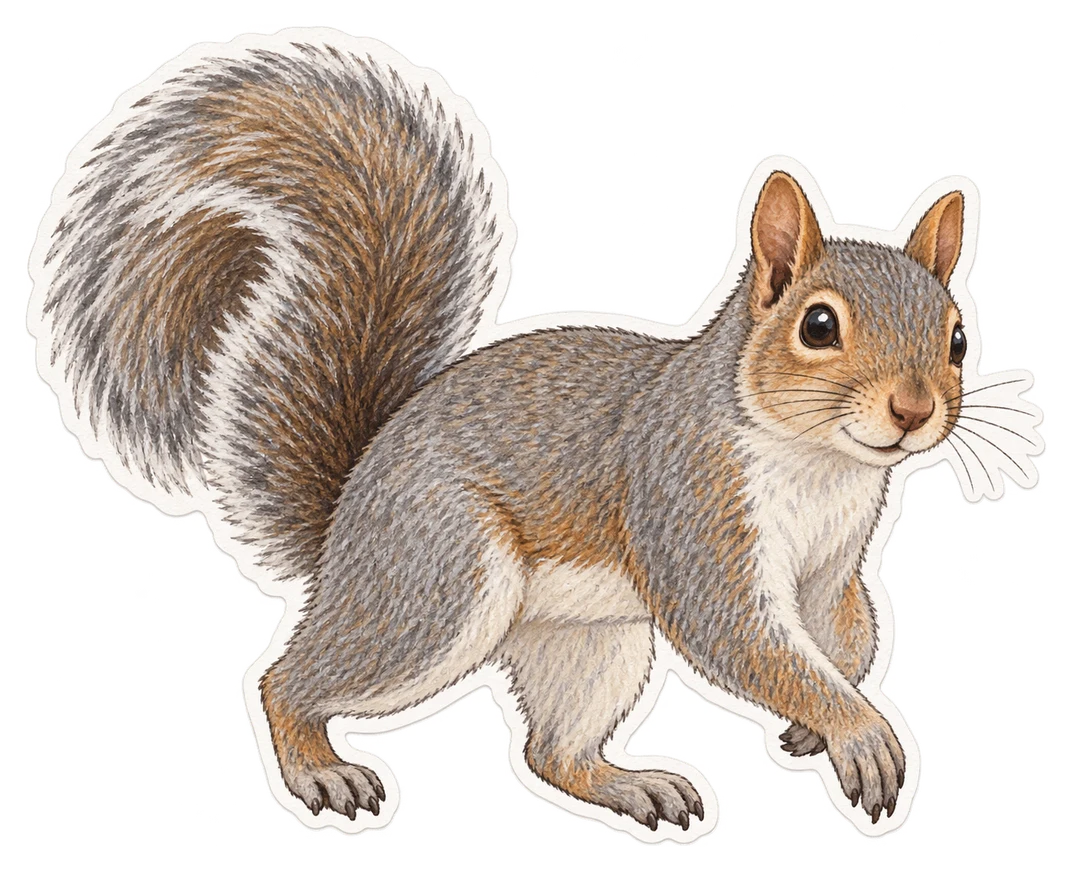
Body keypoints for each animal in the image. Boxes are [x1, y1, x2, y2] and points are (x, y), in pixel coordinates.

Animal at [38, 40, 967, 832]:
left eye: (958, 337)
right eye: (819, 325)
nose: (914, 408)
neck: (819, 463)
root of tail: (347, 517)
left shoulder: (832, 563)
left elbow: (849, 635)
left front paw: (826, 719)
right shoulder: (694, 510)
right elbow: (743, 637)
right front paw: (855, 728)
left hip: (587, 640)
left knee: (551, 752)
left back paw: (631, 785)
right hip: (437, 579)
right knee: (287, 679)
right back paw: (316, 767)